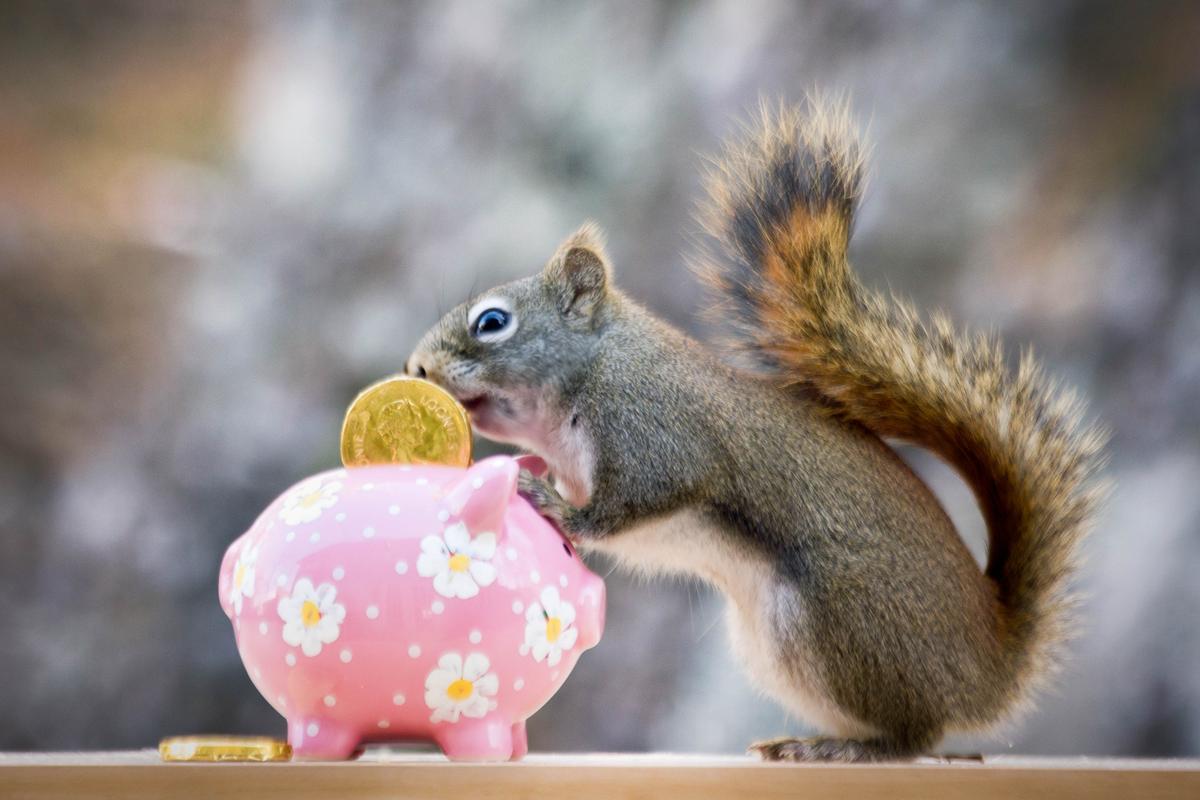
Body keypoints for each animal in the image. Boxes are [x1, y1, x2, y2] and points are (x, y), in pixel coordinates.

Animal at [405, 97, 1104, 762]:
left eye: (493, 322)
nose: (416, 368)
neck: (596, 369)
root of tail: (990, 663)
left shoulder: (657, 435)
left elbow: (625, 505)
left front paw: (554, 506)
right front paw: (532, 477)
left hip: (839, 622)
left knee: (913, 734)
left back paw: (841, 748)